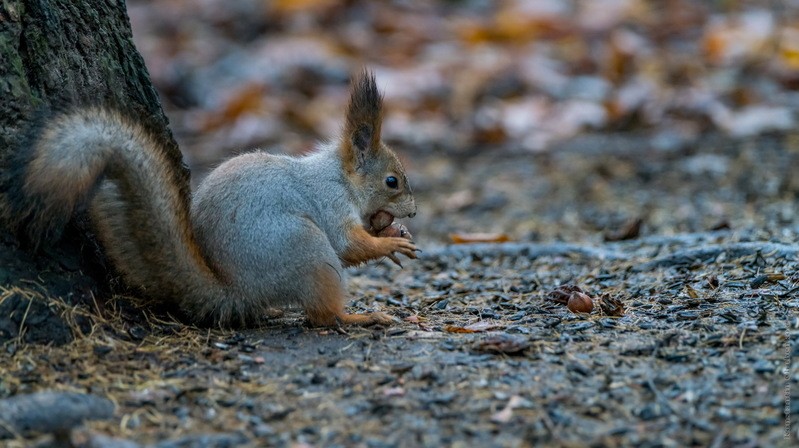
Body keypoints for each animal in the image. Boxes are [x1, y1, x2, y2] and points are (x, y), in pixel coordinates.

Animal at [0, 71, 422, 328]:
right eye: (392, 181)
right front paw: (390, 244)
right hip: (307, 250)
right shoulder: (329, 202)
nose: (414, 212)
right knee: (321, 315)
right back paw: (358, 319)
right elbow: (348, 245)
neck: (340, 177)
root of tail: (233, 292)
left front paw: (394, 232)